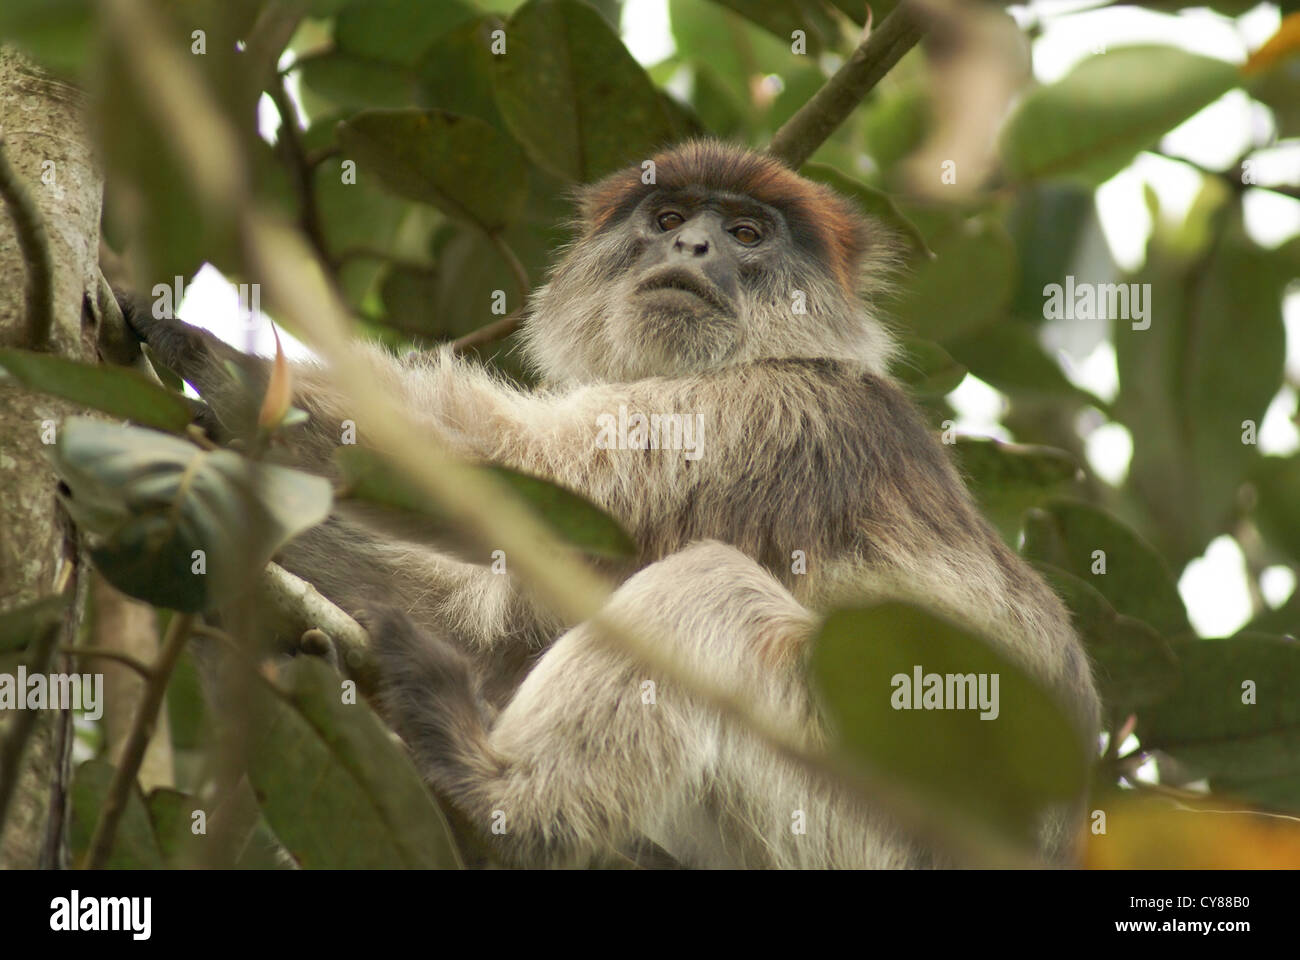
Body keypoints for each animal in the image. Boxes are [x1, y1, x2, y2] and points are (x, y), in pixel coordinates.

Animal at [119, 140, 1097, 868]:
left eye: (746, 232)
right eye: (666, 220)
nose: (691, 249)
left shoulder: (765, 417)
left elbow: (510, 473)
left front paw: (209, 361)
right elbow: (490, 622)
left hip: (851, 806)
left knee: (712, 588)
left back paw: (507, 800)